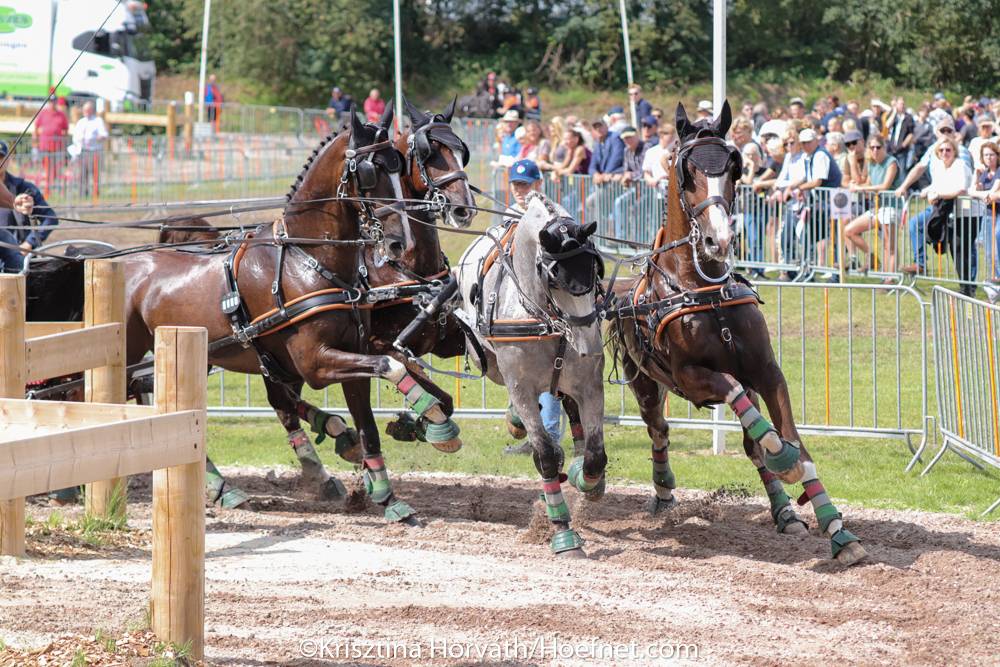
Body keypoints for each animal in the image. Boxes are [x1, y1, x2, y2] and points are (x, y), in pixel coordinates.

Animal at [121, 105, 462, 523]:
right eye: (373, 172)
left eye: (401, 168)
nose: (399, 242)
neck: (309, 259)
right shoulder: (316, 363)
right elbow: (392, 366)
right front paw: (433, 420)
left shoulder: (353, 356)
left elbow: (370, 421)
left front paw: (388, 495)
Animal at [453, 192, 607, 557]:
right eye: (554, 277)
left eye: (595, 269)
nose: (590, 345)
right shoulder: (521, 387)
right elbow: (546, 456)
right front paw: (563, 533)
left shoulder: (589, 385)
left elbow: (595, 456)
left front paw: (587, 482)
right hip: (489, 363)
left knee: (570, 414)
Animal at [605, 101, 866, 565]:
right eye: (686, 170)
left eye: (733, 166)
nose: (719, 239)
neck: (704, 290)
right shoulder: (692, 378)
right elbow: (736, 396)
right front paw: (782, 456)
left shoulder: (766, 371)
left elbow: (794, 442)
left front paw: (837, 530)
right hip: (645, 384)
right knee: (659, 429)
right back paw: (663, 491)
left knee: (748, 439)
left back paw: (785, 512)